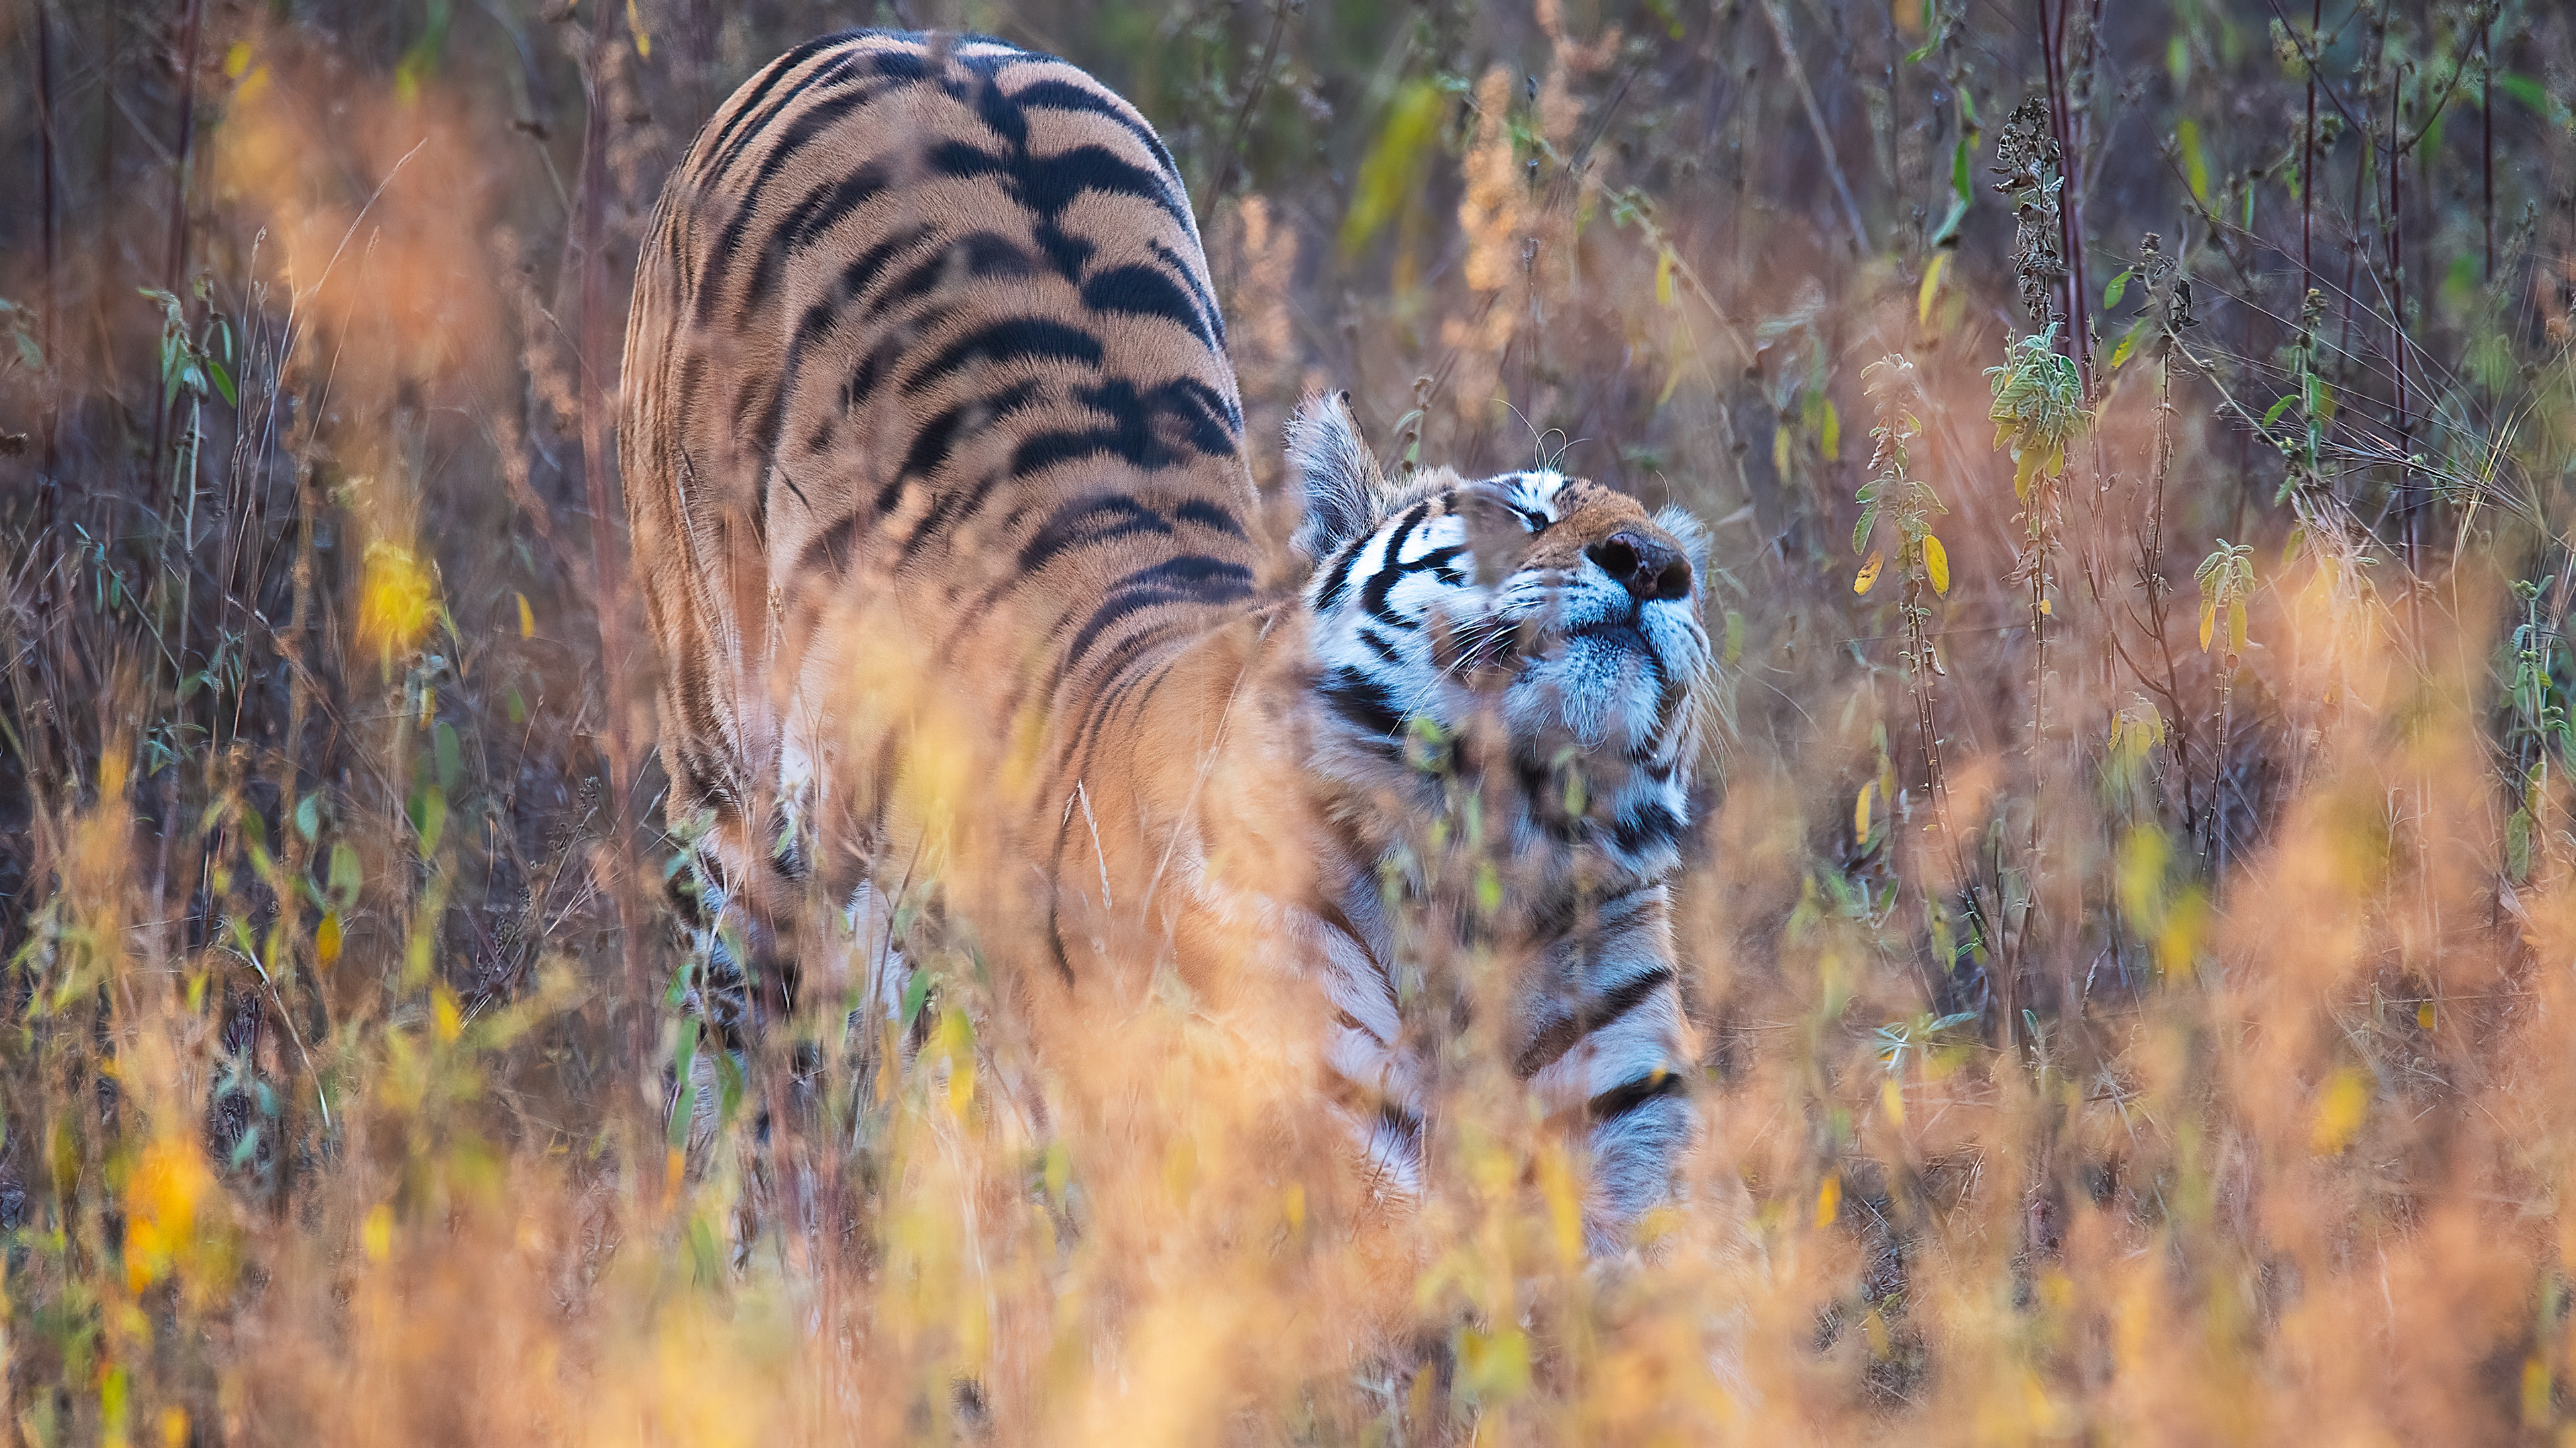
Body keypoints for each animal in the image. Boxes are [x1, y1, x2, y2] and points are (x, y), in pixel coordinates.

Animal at [619, 28, 1716, 1248]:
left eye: (1678, 558)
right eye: (1520, 513)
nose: (1653, 562)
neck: (1505, 860)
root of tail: (903, 37)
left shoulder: (1632, 1149)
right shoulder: (1308, 1131)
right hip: (731, 807)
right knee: (731, 1063)